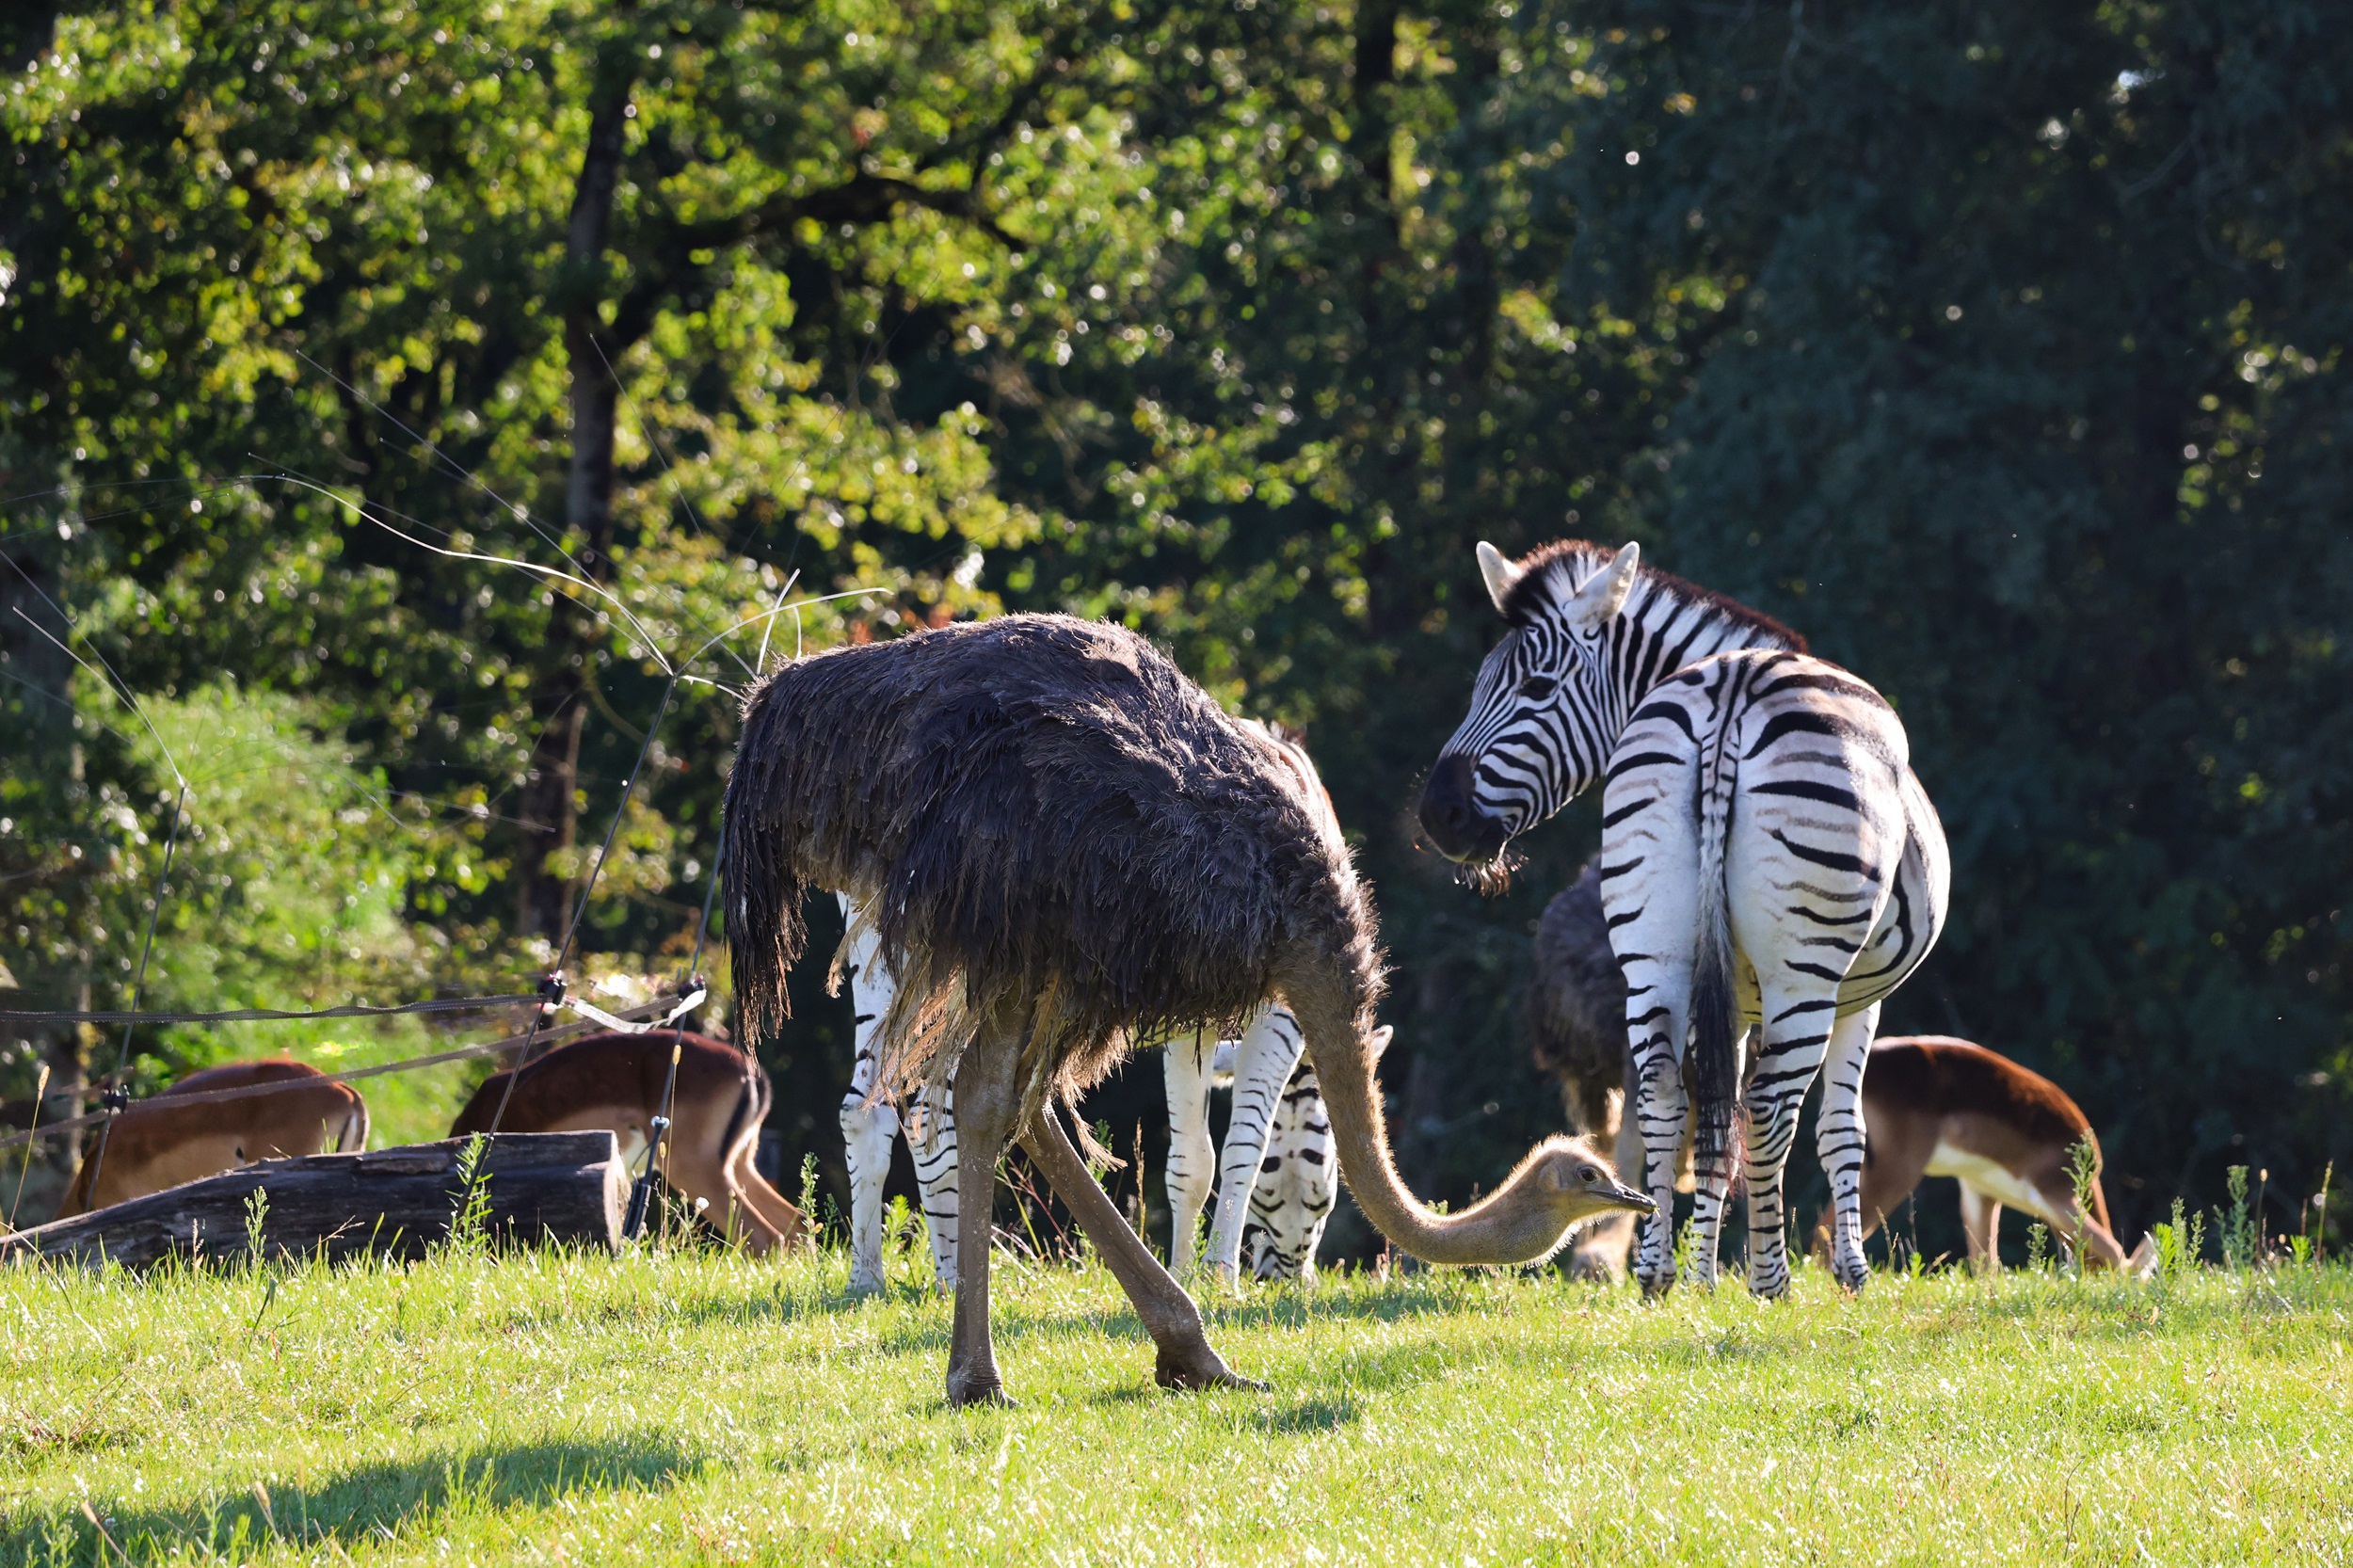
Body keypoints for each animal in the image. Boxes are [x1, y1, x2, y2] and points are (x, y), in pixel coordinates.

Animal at [838, 899, 1337, 1289]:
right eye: (1323, 1195)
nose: (1295, 1283)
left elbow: (1194, 1161)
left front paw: (1185, 1274)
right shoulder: (1269, 1015)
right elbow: (1231, 1153)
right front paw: (1214, 1277)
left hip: (878, 944)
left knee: (865, 1110)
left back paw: (868, 1276)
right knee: (930, 1116)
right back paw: (951, 1274)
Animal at [1412, 536, 1948, 1289]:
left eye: (1536, 688)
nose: (1439, 816)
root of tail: (1733, 688)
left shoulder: (1730, 991)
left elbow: (1714, 1114)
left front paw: (1701, 1272)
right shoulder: (1859, 997)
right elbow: (1839, 1129)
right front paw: (1847, 1271)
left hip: (1652, 948)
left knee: (1666, 1096)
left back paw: (1659, 1274)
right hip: (1804, 969)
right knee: (1769, 1108)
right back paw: (1769, 1282)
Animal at [1817, 1035, 2155, 1271]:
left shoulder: (1980, 1192)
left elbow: (1984, 1264)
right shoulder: (2057, 1195)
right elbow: (2114, 1252)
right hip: (1896, 1171)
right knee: (1829, 1232)